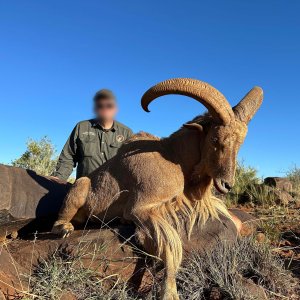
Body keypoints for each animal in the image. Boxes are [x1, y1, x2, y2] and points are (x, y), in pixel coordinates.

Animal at [52, 78, 264, 298]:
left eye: (240, 144)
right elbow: (171, 247)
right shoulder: (141, 209)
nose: (227, 184)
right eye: (215, 139)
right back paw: (64, 227)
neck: (175, 158)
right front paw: (169, 293)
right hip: (81, 185)